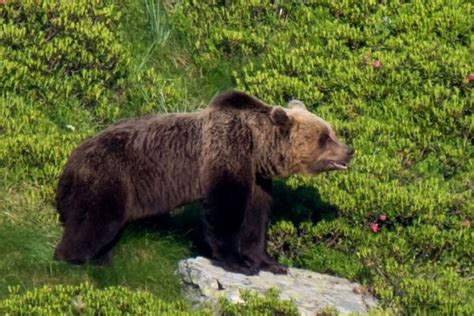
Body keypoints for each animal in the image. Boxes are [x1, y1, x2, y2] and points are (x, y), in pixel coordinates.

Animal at [54, 90, 352, 276]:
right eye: (324, 137)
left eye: (332, 132)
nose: (349, 151)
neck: (256, 149)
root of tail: (71, 161)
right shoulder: (225, 155)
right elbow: (225, 210)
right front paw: (239, 262)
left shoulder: (257, 178)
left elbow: (256, 219)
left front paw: (270, 262)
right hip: (110, 177)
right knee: (97, 220)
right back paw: (71, 258)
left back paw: (102, 261)